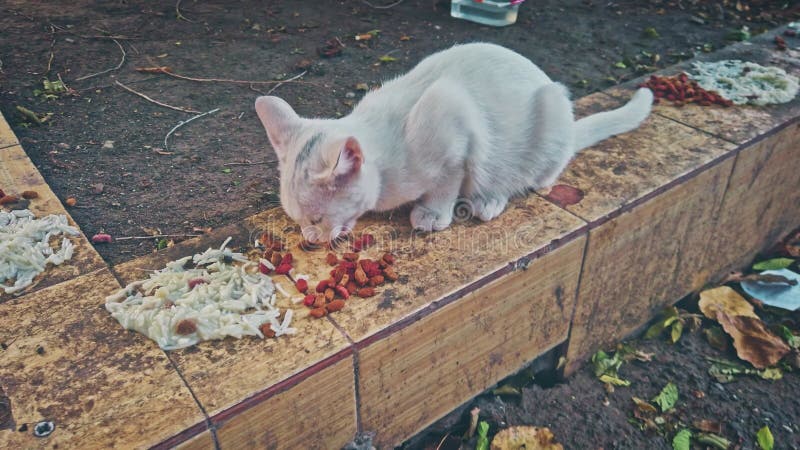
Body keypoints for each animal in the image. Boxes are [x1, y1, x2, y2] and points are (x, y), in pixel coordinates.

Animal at [255, 43, 648, 243]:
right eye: (296, 220)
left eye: (317, 218)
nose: (310, 238)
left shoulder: (453, 123)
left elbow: (448, 180)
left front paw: (432, 213)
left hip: (550, 112)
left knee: (533, 178)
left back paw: (489, 198)